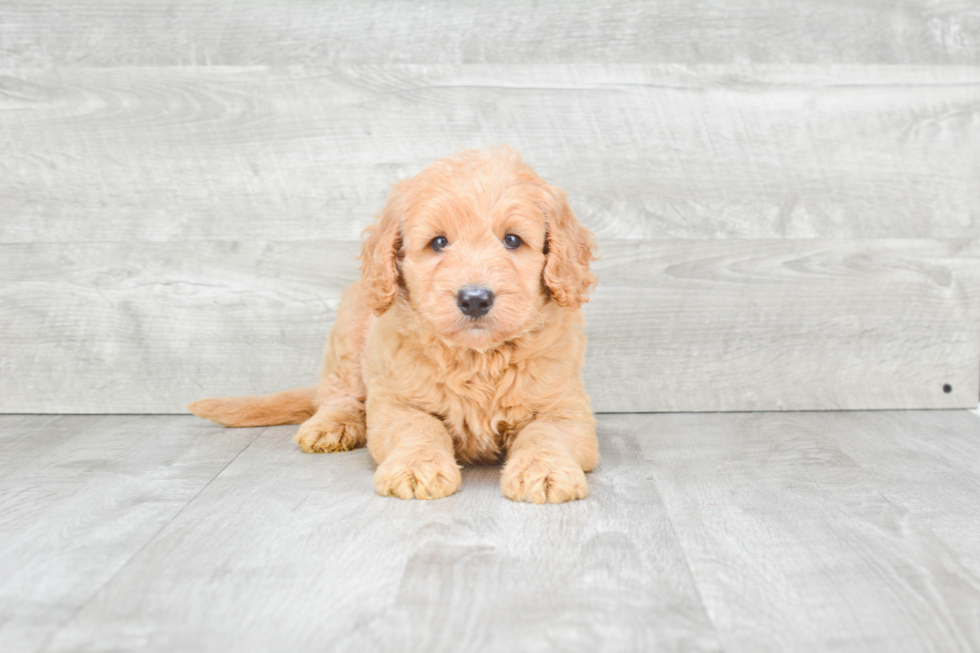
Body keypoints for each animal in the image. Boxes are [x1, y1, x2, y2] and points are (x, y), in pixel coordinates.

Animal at [186, 146, 596, 504]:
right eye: (438, 243)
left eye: (513, 240)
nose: (475, 299)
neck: (476, 358)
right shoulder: (395, 403)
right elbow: (420, 427)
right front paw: (417, 467)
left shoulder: (565, 407)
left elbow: (545, 433)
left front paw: (545, 471)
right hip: (349, 335)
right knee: (338, 393)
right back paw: (331, 424)